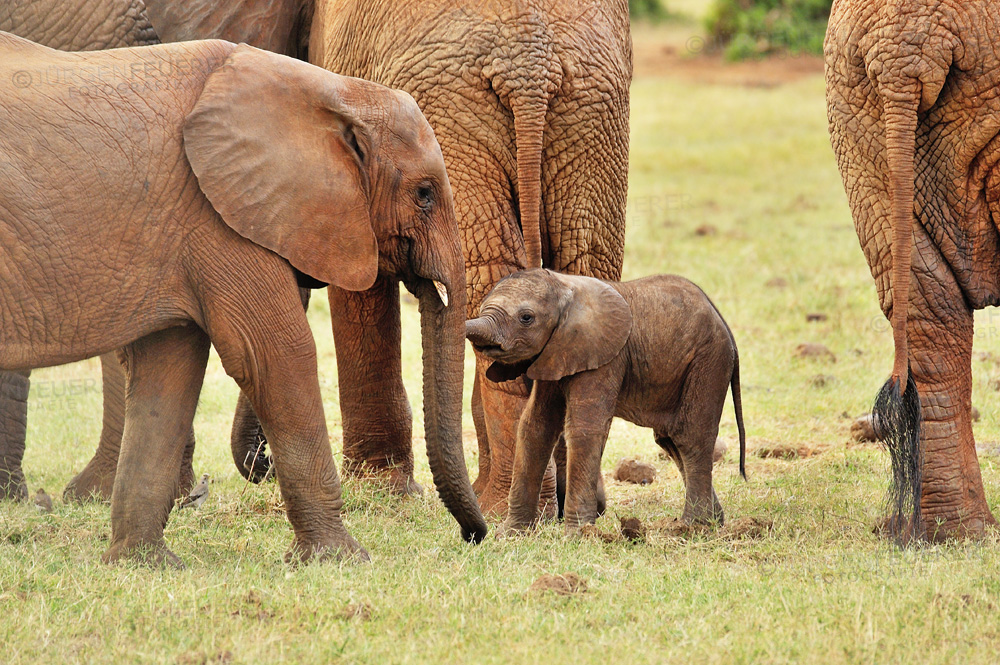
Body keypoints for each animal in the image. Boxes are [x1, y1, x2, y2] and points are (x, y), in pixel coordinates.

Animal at [0, 33, 484, 564]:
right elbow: (276, 354)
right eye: (424, 194)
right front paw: (342, 559)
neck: (333, 90)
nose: (475, 536)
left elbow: (170, 372)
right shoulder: (216, 217)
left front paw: (144, 564)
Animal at [466, 268, 744, 532]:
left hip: (709, 361)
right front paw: (511, 533)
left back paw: (693, 526)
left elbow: (584, 429)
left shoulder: (605, 356)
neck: (563, 284)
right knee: (669, 439)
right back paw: (713, 521)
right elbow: (535, 428)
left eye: (526, 318)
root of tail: (726, 327)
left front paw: (578, 534)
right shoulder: (554, 353)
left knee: (689, 437)